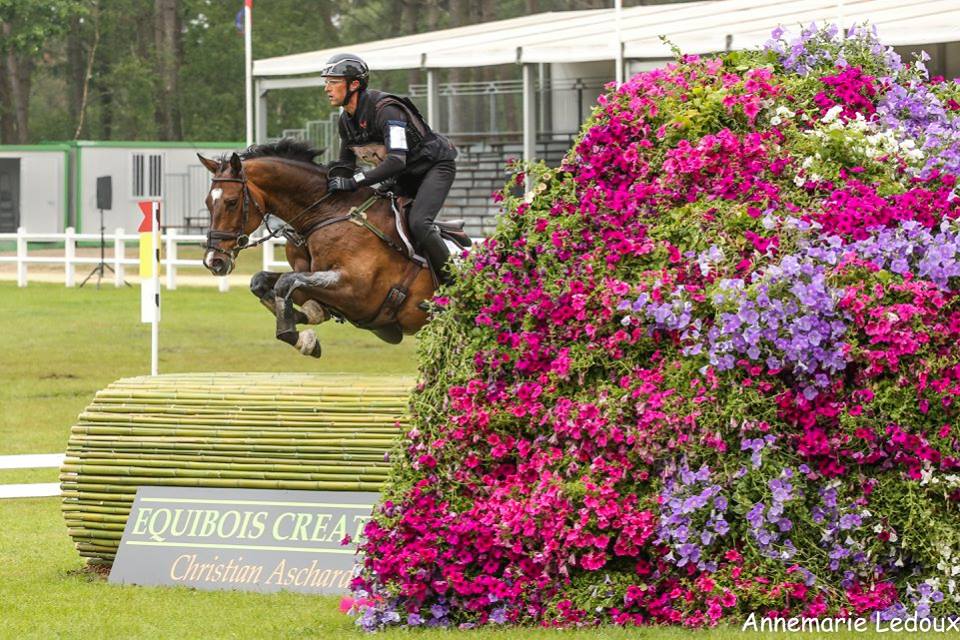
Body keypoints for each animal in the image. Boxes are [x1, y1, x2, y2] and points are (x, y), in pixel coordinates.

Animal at [198, 140, 468, 358]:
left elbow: (286, 283)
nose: (214, 261)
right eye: (208, 203)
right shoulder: (311, 276)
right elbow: (263, 281)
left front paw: (302, 337)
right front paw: (310, 318)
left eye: (232, 202)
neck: (327, 213)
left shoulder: (358, 293)